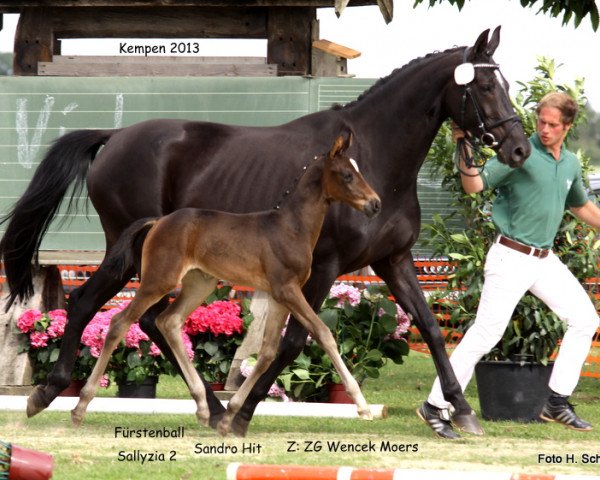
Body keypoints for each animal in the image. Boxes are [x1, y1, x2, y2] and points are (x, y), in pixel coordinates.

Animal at [70, 132, 380, 436]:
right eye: (347, 175)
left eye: (358, 171)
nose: (375, 203)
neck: (292, 227)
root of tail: (157, 222)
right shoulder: (288, 290)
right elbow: (323, 333)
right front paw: (362, 406)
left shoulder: (277, 295)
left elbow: (267, 352)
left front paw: (229, 416)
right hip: (158, 281)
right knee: (120, 322)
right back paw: (80, 407)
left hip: (200, 283)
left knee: (169, 321)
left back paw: (203, 407)